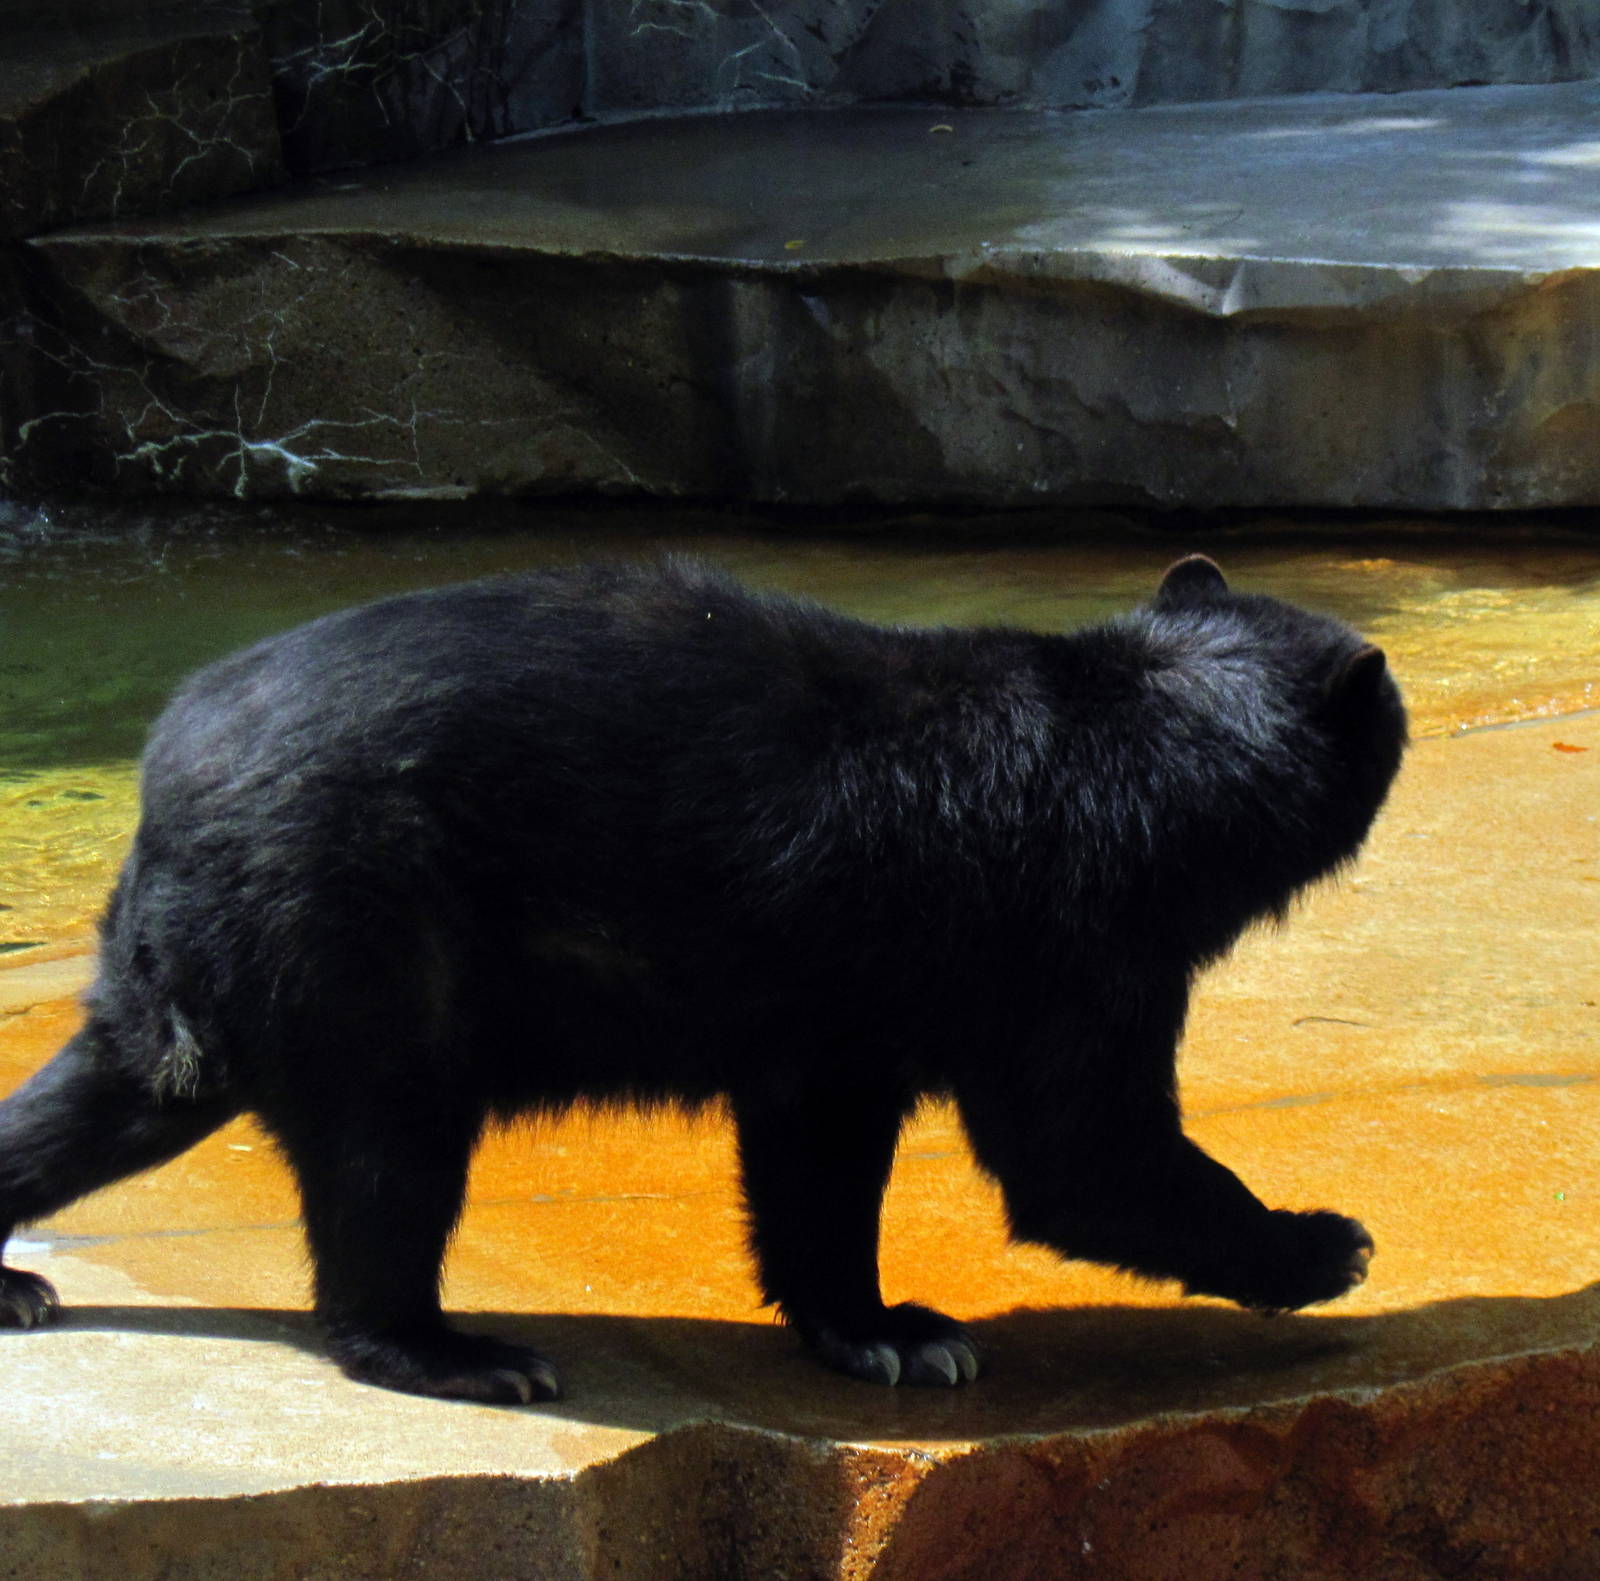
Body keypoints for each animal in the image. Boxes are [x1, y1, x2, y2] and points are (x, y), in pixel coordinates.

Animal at [0, 554, 1406, 1402]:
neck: (1159, 737)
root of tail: (170, 771)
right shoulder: (1071, 928)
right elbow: (1080, 1148)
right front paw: (1323, 1244)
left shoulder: (843, 995)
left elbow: (819, 1147)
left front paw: (885, 1328)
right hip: (367, 934)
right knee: (387, 1156)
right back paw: (455, 1350)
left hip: (198, 963)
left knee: (105, 1097)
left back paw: (18, 1280)